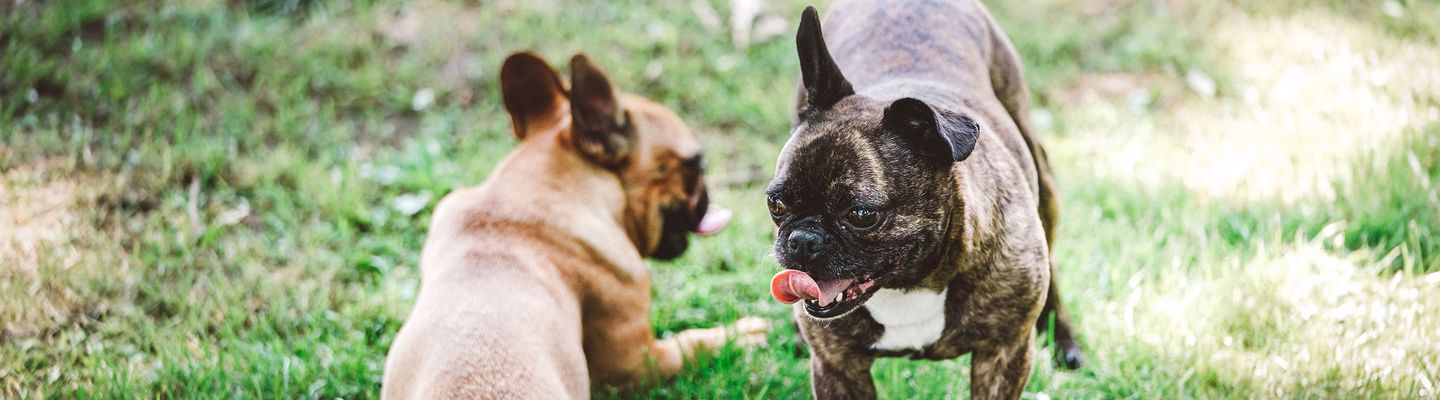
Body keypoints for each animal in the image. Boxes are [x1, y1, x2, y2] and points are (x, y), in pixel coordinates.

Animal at [380, 52, 766, 397]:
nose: (707, 193)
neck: (515, 201)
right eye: (697, 165)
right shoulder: (634, 363)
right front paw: (739, 334)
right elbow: (689, 344)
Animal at [766, 1, 1082, 397]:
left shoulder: (1003, 354)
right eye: (775, 205)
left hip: (1043, 182)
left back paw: (1063, 339)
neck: (911, 283)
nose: (802, 241)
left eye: (861, 215)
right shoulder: (837, 367)